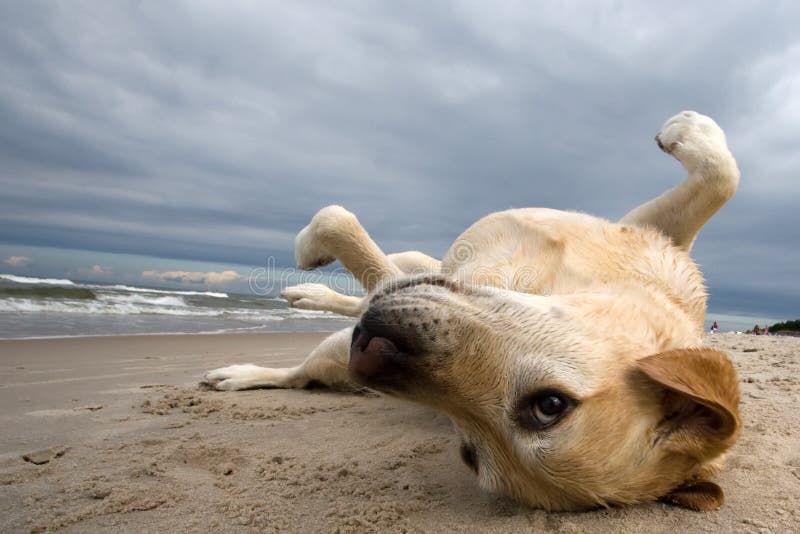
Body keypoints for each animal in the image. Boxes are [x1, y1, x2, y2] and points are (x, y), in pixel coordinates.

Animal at [203, 112, 740, 516]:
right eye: (551, 405)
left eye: (469, 453)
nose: (368, 354)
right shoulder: (650, 232)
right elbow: (721, 178)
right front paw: (688, 131)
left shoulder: (394, 294)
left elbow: (346, 231)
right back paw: (307, 295)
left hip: (339, 349)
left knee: (303, 369)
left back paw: (246, 371)